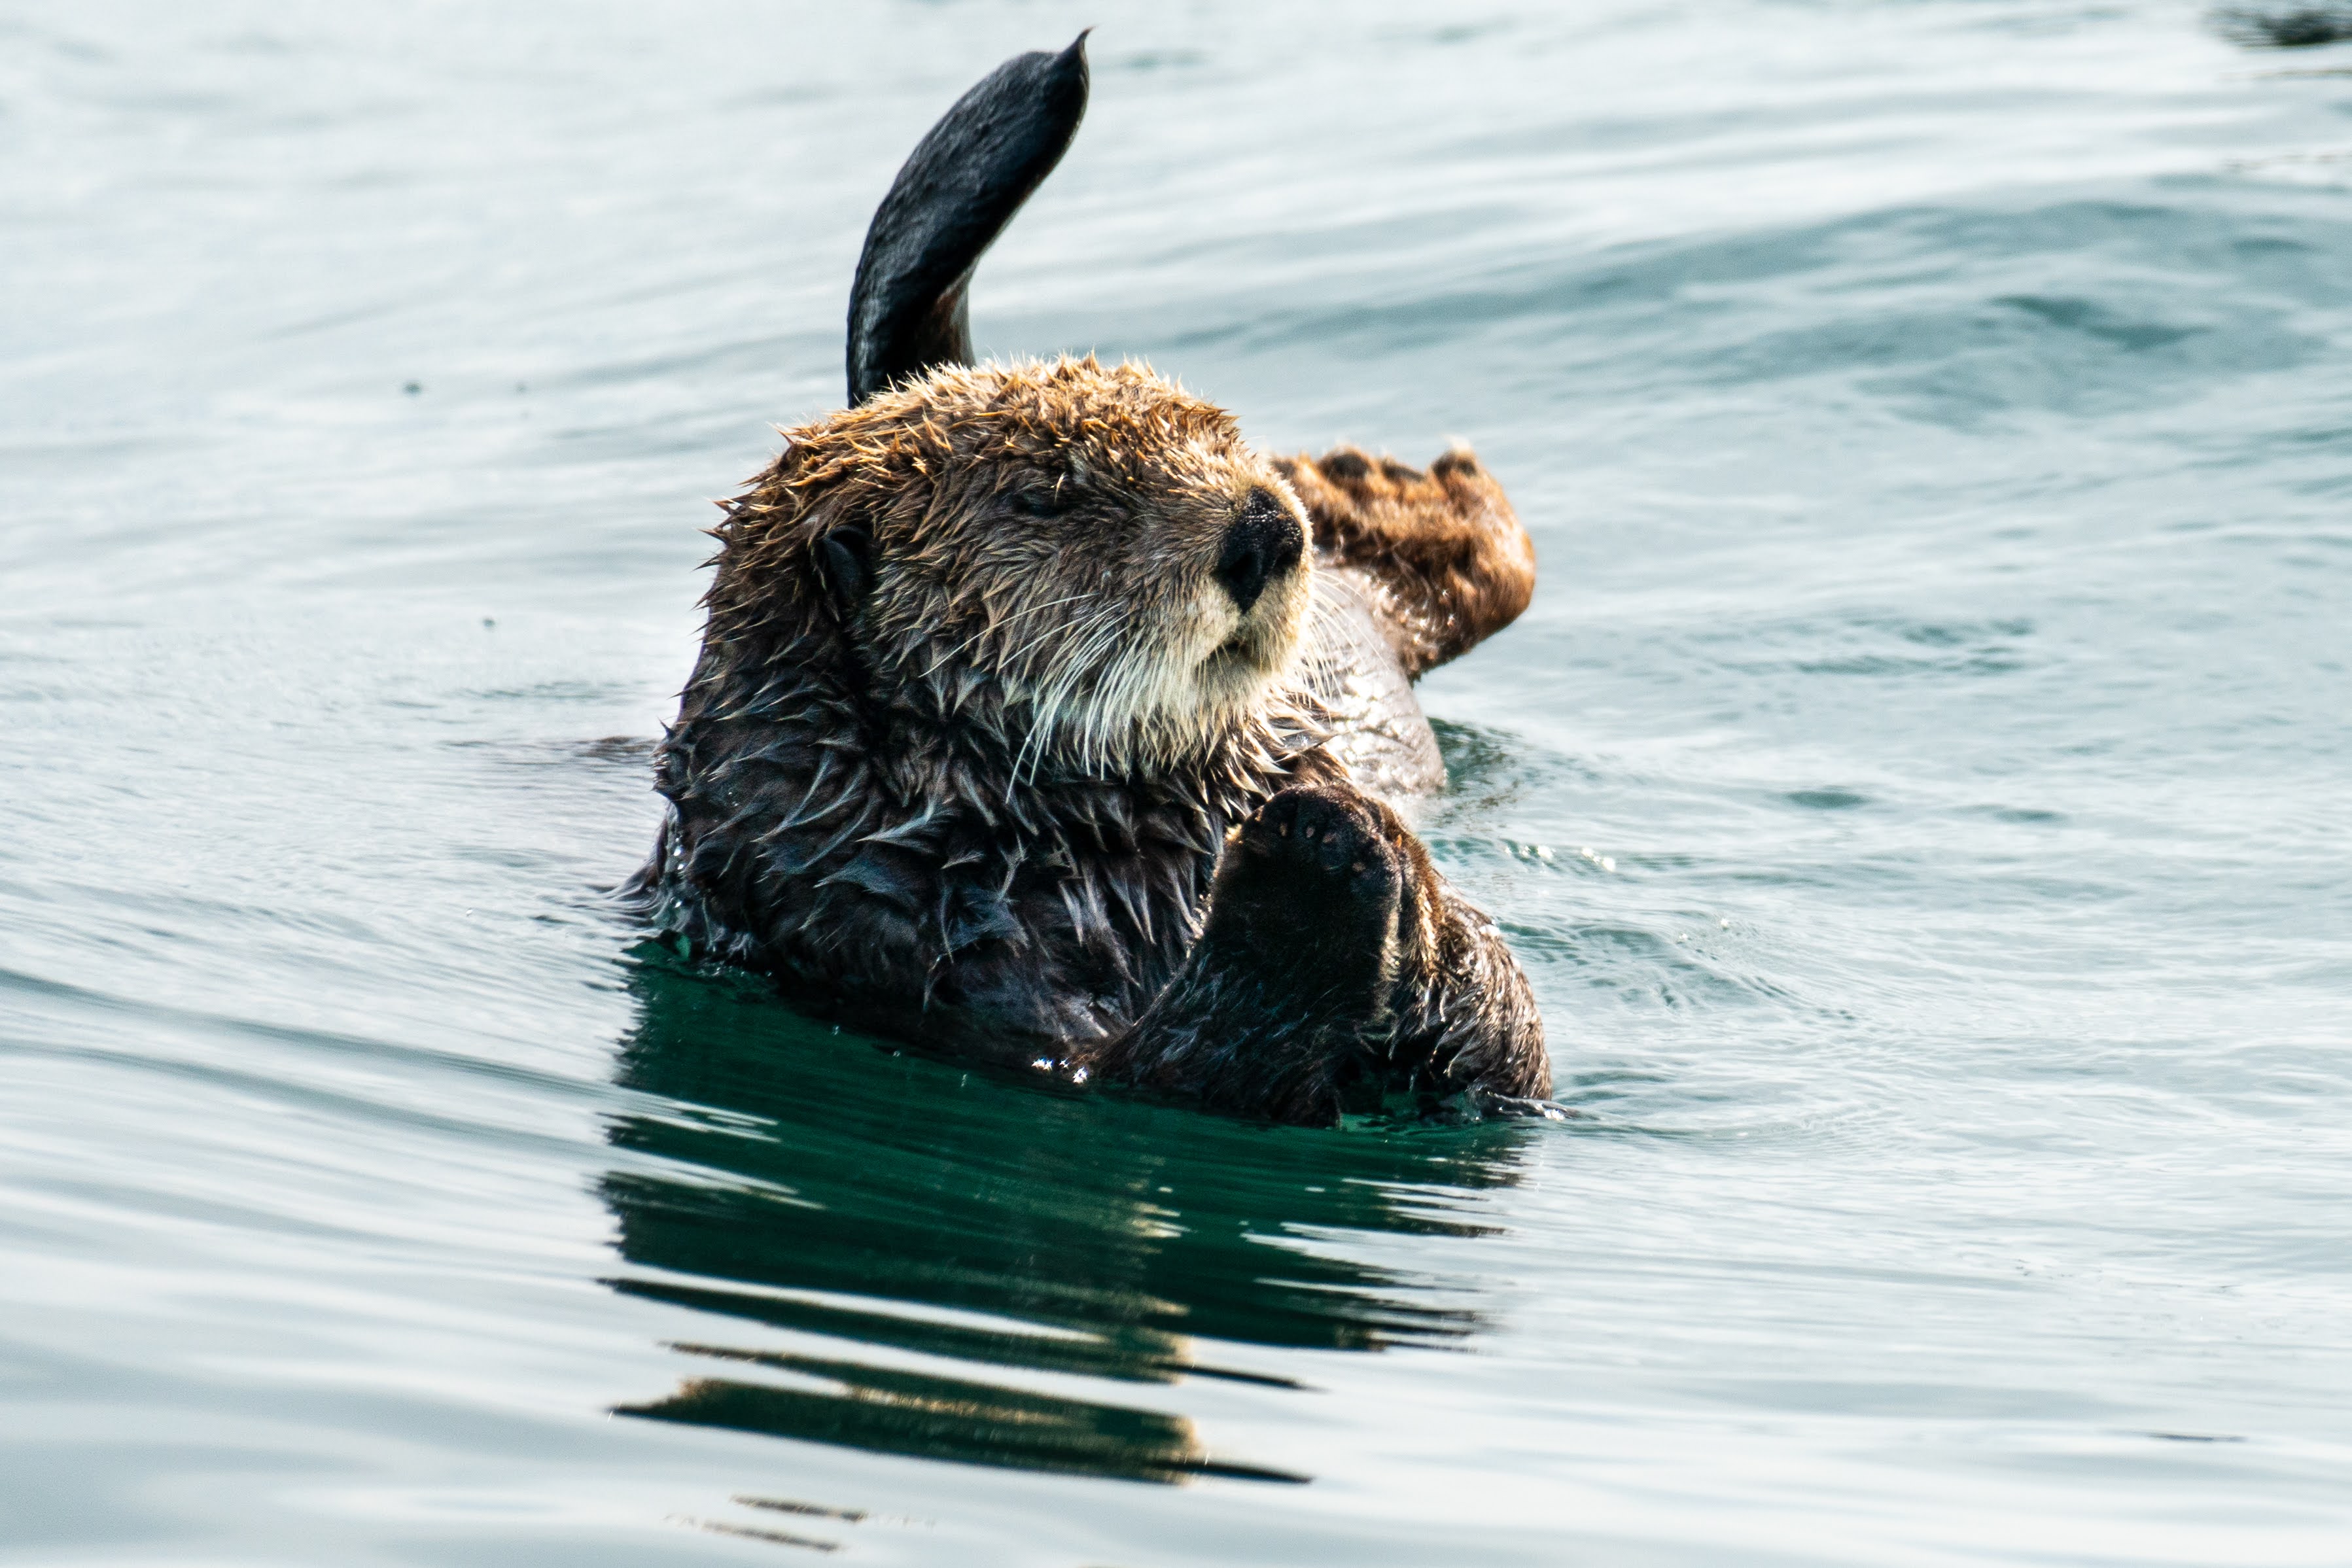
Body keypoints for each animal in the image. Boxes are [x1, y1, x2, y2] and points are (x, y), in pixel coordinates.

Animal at [631, 36, 1550, 1124]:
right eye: (1046, 495)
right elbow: (1165, 1070)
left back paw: (1399, 485)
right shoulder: (908, 955)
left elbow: (1509, 1033)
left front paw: (1359, 839)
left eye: (1221, 438)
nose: (1263, 527)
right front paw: (1311, 854)